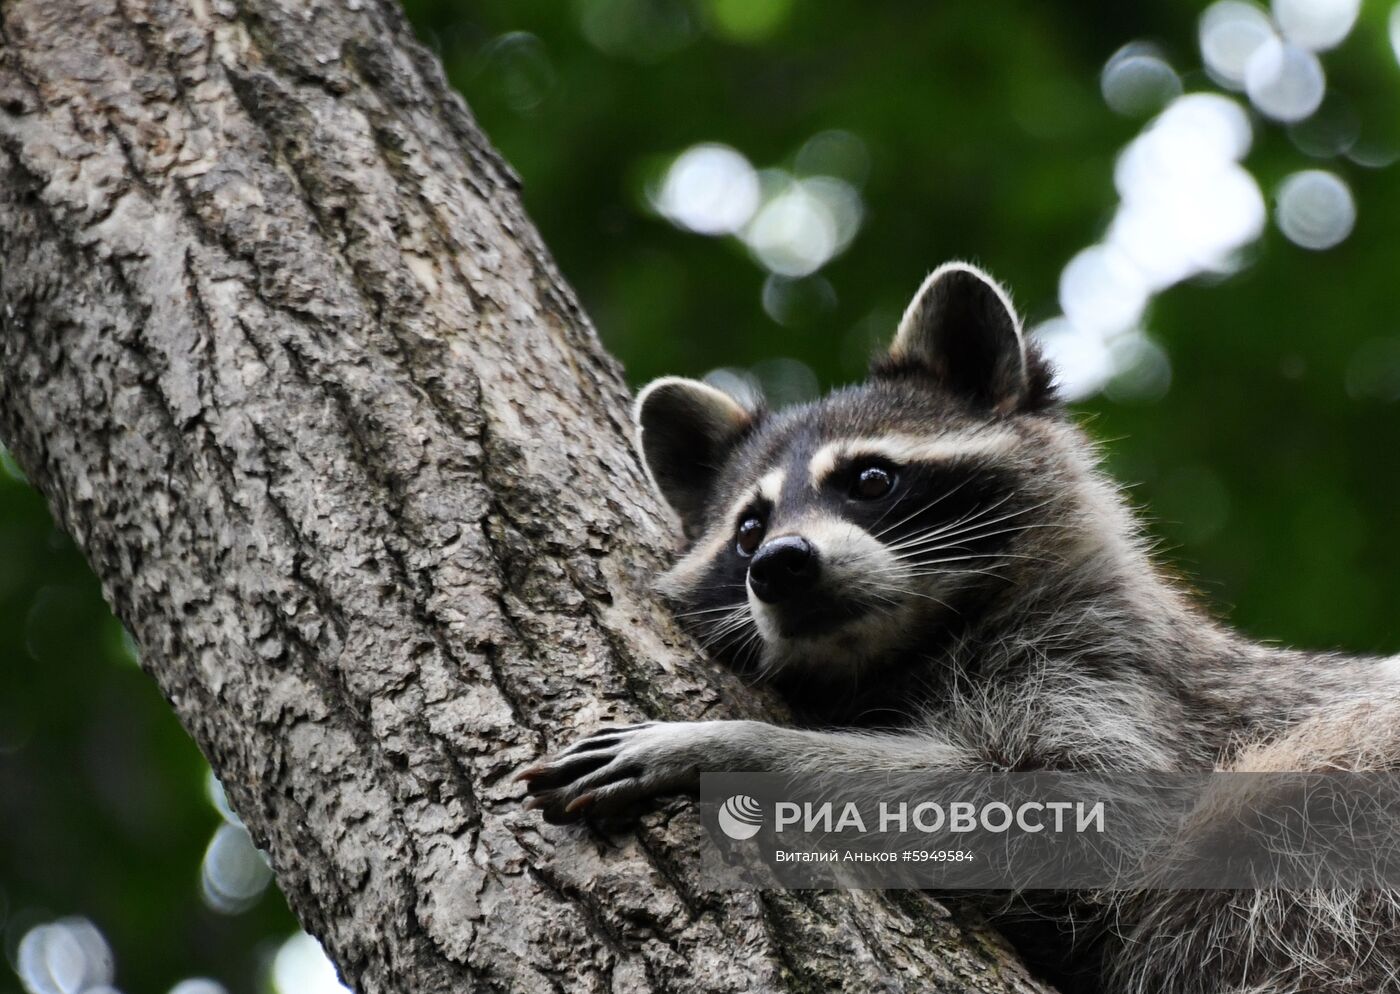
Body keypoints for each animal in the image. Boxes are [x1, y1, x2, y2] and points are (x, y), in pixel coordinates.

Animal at [523, 260, 1400, 991]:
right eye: (747, 529)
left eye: (871, 480)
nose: (779, 564)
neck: (909, 645)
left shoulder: (1118, 676)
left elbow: (1069, 815)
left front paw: (734, 746)